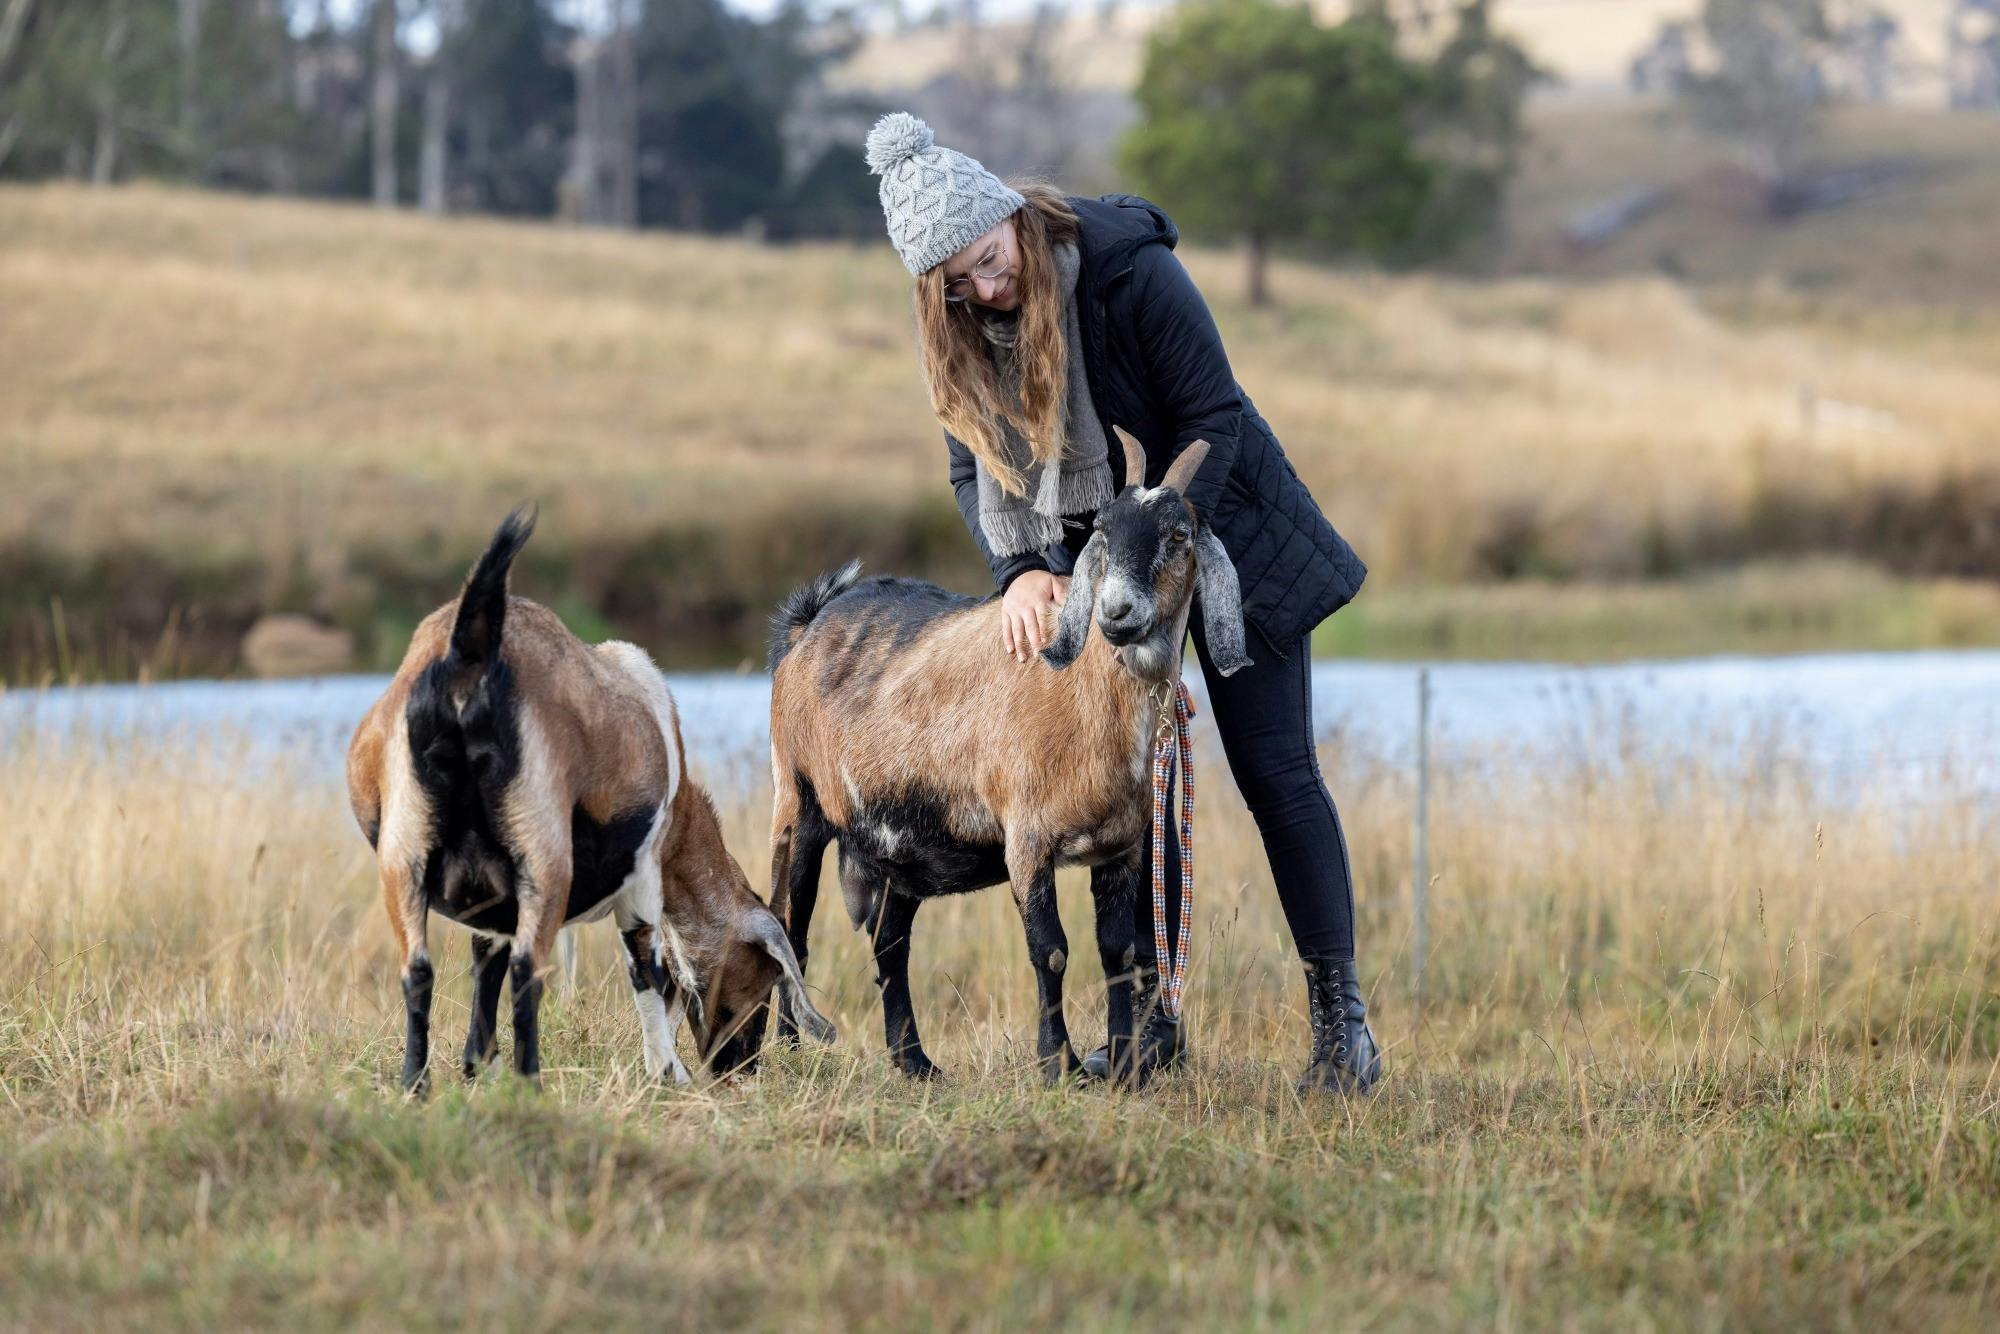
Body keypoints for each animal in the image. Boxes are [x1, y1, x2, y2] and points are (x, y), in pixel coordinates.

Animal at [346, 508, 833, 1093]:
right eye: (761, 982)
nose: (737, 1066)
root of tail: (470, 650)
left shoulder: (487, 898)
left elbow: (484, 961)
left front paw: (476, 1070)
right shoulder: (643, 876)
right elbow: (650, 972)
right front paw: (667, 1074)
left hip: (404, 854)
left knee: (418, 971)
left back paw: (416, 1088)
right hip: (544, 858)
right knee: (527, 970)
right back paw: (531, 1087)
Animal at [766, 434, 1247, 1081]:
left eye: (1178, 535)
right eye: (1102, 530)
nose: (1116, 614)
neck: (1084, 701)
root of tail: (808, 625)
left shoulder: (1122, 846)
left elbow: (1119, 952)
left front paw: (1122, 1063)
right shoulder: (1027, 840)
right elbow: (1052, 952)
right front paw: (1058, 1065)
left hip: (899, 845)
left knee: (890, 944)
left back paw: (915, 1062)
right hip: (798, 803)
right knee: (789, 928)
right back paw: (788, 1051)